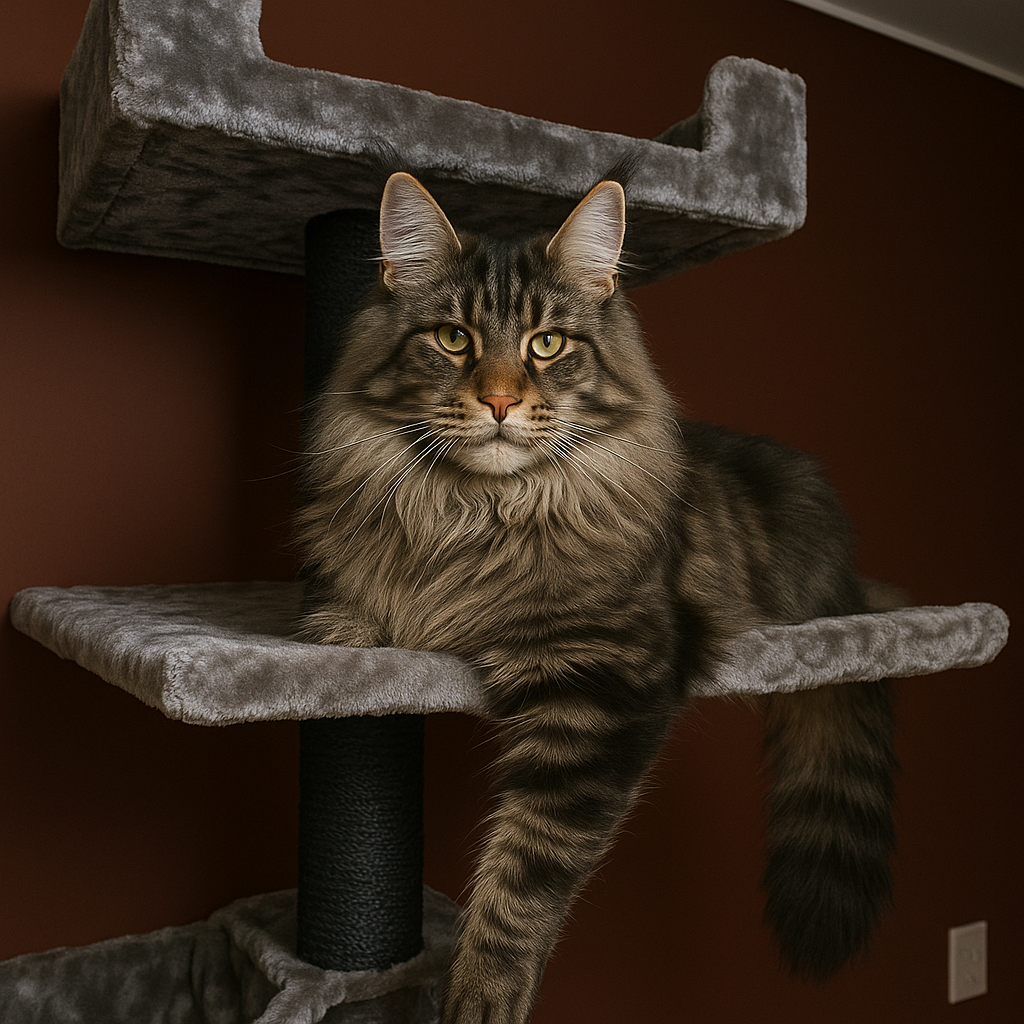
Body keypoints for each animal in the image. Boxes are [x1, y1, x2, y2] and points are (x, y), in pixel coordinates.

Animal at [296, 171, 896, 1024]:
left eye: (547, 344)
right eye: (453, 339)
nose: (500, 402)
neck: (478, 516)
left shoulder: (606, 682)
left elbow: (524, 875)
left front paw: (481, 996)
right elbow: (346, 632)